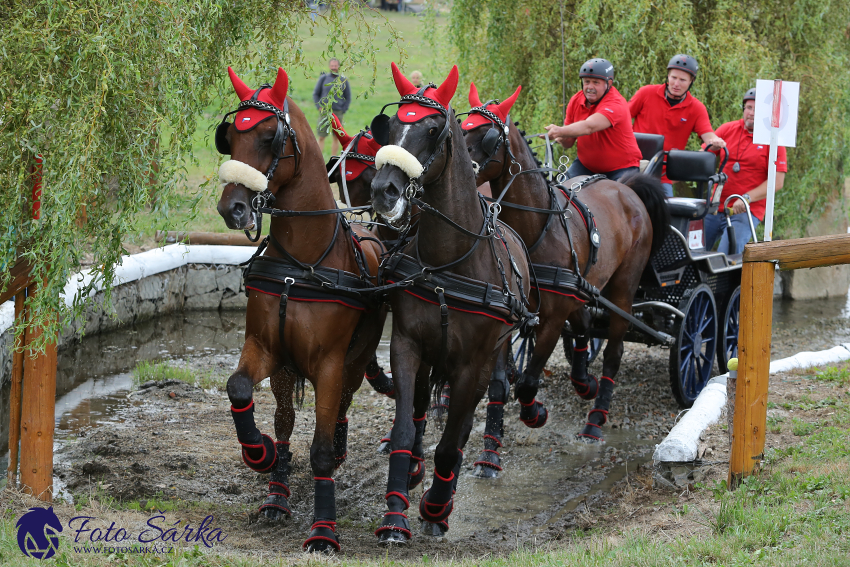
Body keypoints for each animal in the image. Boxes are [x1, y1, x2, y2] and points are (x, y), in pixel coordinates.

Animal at [214, 65, 386, 552]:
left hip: (355, 360)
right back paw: (277, 491)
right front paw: (260, 453)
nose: (233, 208)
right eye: (230, 136)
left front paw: (324, 528)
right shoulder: (266, 348)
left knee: (343, 406)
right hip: (287, 371)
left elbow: (322, 450)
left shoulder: (329, 364)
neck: (302, 263)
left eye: (270, 137)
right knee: (286, 421)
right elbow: (239, 389)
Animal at [366, 64, 536, 544]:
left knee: (469, 420)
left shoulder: (472, 364)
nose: (383, 189)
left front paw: (436, 508)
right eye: (392, 124)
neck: (450, 262)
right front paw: (395, 513)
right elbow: (406, 427)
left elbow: (453, 440)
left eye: (431, 128)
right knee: (424, 408)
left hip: (490, 358)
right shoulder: (407, 345)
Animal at [460, 83, 664, 462]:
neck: (534, 232)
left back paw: (595, 420)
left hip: (623, 289)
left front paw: (535, 413)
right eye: (462, 127)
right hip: (585, 286)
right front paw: (490, 453)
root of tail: (628, 189)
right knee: (584, 322)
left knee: (613, 353)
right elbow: (500, 383)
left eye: (489, 135)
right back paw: (584, 381)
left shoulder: (552, 320)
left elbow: (528, 382)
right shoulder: (507, 317)